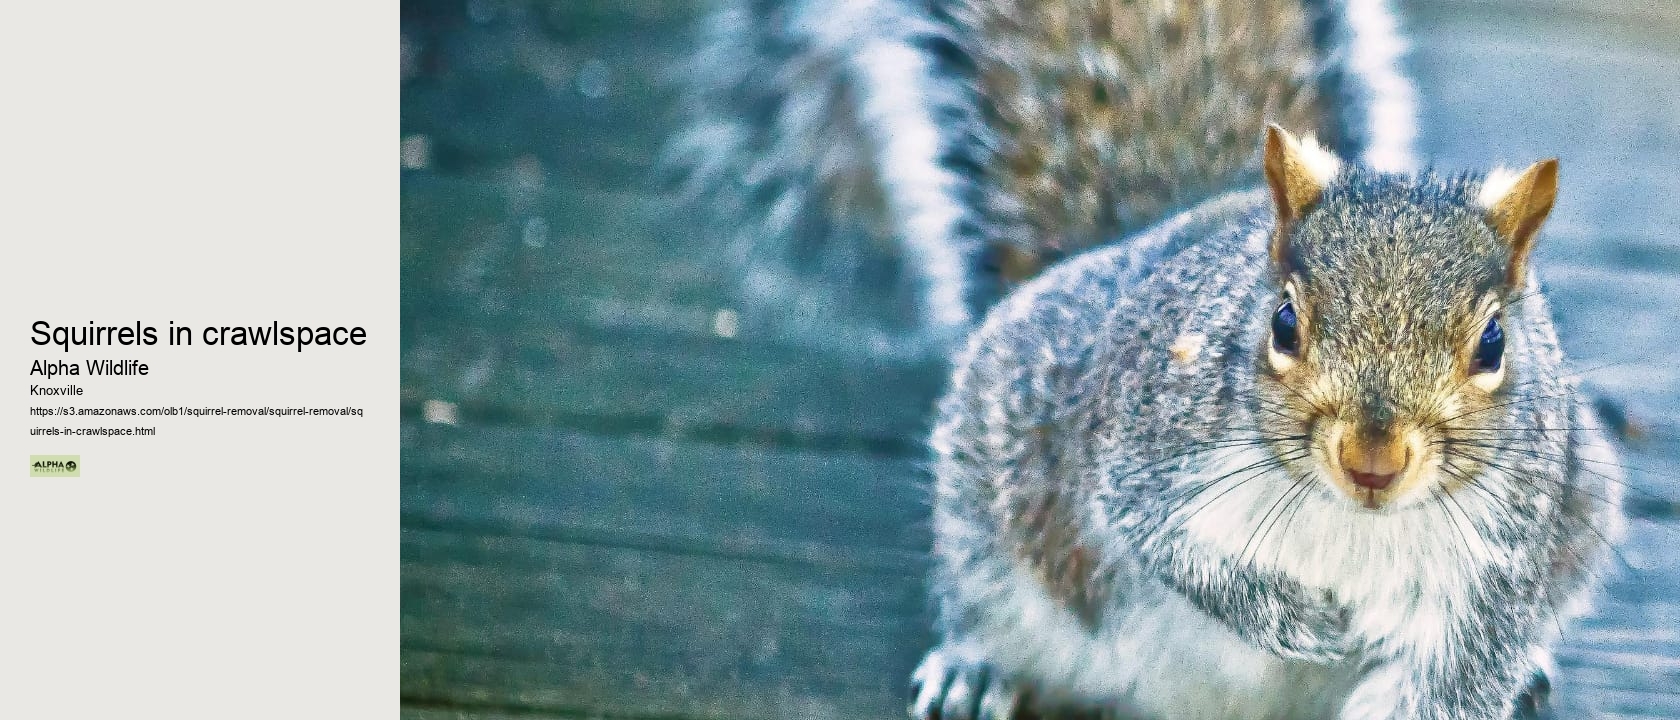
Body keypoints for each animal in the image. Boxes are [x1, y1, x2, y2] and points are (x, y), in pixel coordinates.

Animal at [911, 126, 1626, 719]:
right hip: (990, 494)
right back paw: (974, 667)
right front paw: (1293, 619)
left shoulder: (1488, 584)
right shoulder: (1144, 456)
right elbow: (1174, 548)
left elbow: (1446, 684)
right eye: (1283, 323)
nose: (1372, 462)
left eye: (1493, 345)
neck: (1353, 520)